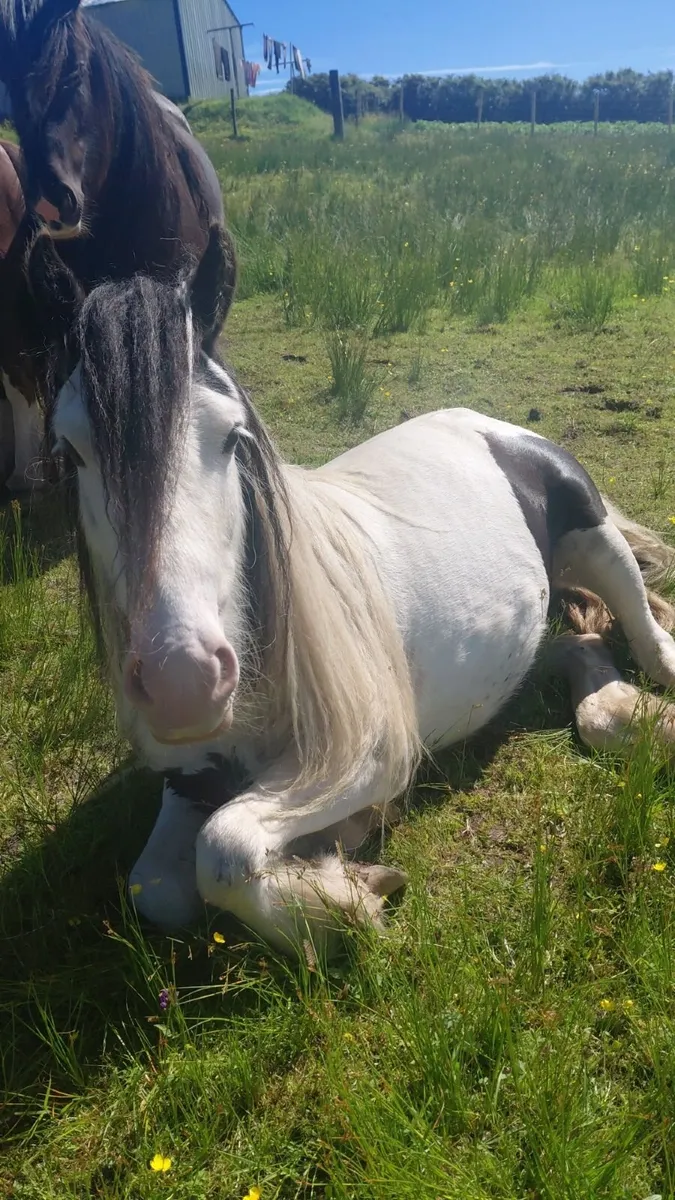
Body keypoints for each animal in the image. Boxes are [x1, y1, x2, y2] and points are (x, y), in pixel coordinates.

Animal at [43, 228, 675, 959]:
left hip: (595, 539)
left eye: (231, 437)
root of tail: (488, 423)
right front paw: (329, 876)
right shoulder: (192, 777)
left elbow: (223, 848)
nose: (185, 681)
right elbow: (156, 888)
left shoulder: (366, 759)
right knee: (574, 647)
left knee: (645, 633)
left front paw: (341, 904)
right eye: (71, 453)